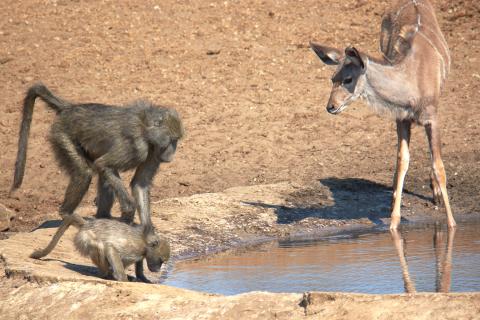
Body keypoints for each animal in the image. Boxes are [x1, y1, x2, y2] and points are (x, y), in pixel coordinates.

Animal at [310, 0, 456, 230]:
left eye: (348, 79)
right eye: (332, 78)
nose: (331, 106)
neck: (413, 83)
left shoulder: (433, 118)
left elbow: (439, 166)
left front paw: (451, 223)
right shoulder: (402, 118)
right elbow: (403, 159)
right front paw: (393, 223)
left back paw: (436, 195)